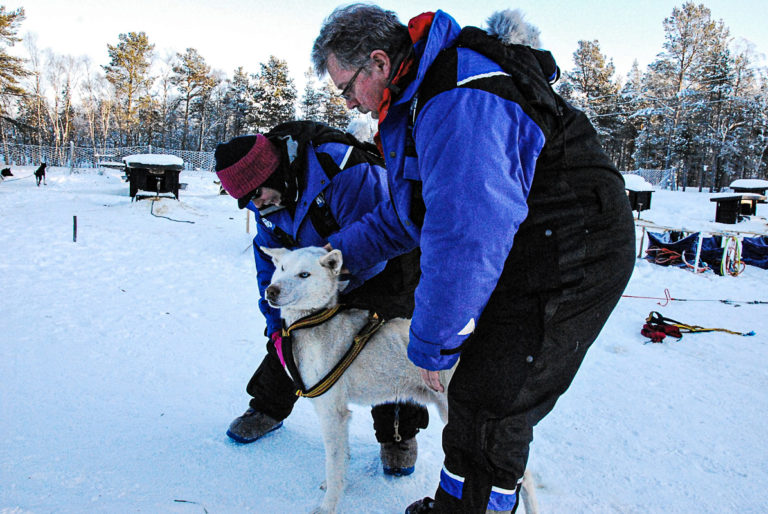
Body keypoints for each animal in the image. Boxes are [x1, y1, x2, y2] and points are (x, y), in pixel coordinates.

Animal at [260, 246, 544, 510]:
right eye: (282, 268)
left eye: (304, 274)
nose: (271, 291)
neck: (312, 321)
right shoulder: (336, 414)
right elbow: (342, 458)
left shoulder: (332, 412)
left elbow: (334, 463)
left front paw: (328, 504)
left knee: (521, 477)